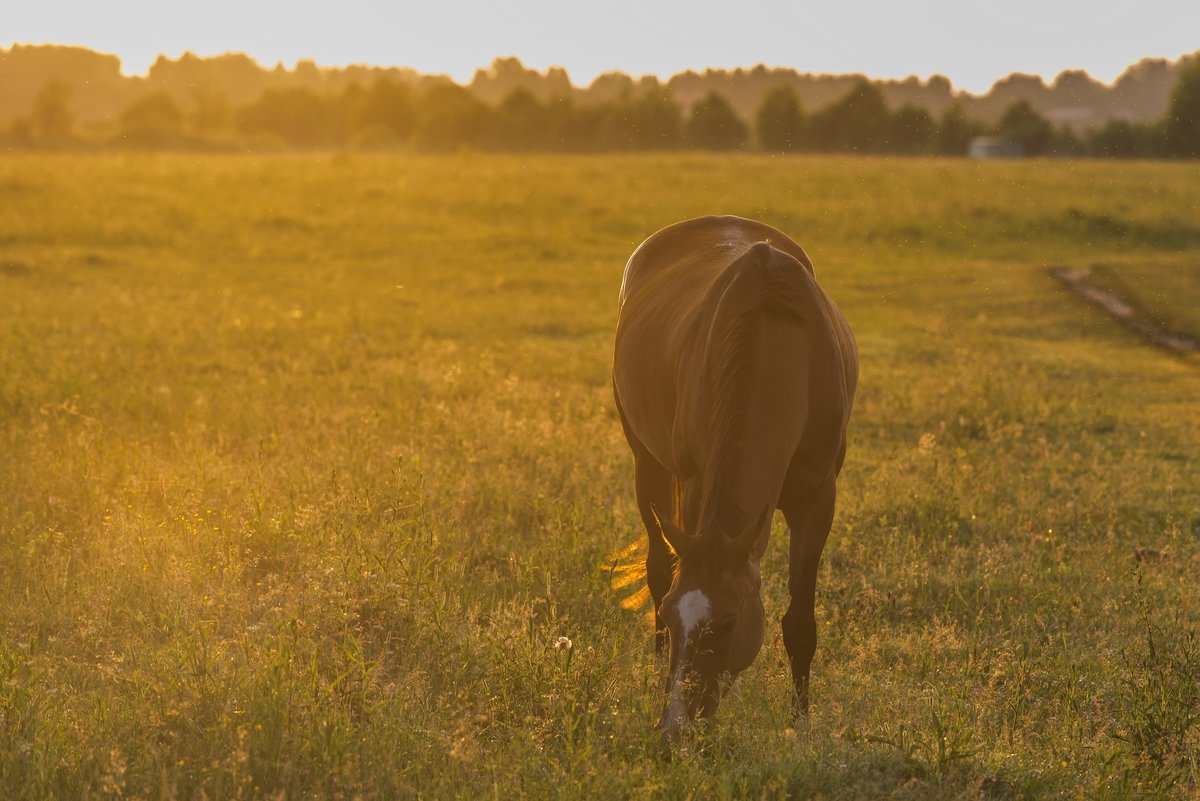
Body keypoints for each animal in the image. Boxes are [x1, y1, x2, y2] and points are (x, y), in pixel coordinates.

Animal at [614, 215, 859, 743]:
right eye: (672, 615)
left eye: (727, 623)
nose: (676, 729)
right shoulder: (695, 484)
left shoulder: (817, 497)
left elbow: (800, 623)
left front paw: (799, 724)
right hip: (647, 460)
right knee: (658, 562)